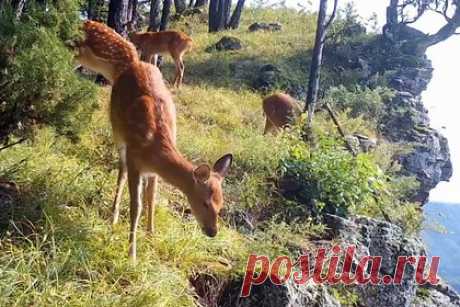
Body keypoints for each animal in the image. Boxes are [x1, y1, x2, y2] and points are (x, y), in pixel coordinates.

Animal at [76, 20, 234, 262]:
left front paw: (151, 235)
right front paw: (132, 255)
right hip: (117, 131)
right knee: (120, 171)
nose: (212, 232)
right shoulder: (135, 162)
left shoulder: (152, 172)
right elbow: (137, 206)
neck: (154, 148)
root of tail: (130, 63)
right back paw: (113, 218)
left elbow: (152, 198)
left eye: (221, 204)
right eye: (205, 202)